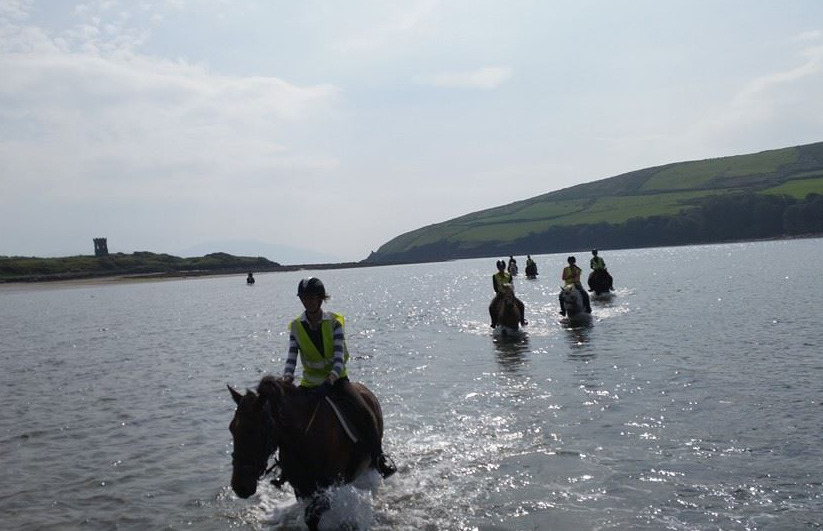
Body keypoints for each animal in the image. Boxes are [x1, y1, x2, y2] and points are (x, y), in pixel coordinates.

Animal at [230, 376, 384, 528]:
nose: (240, 486)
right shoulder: (301, 488)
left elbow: (312, 517)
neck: (305, 440)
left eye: (254, 431)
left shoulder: (328, 488)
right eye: (231, 428)